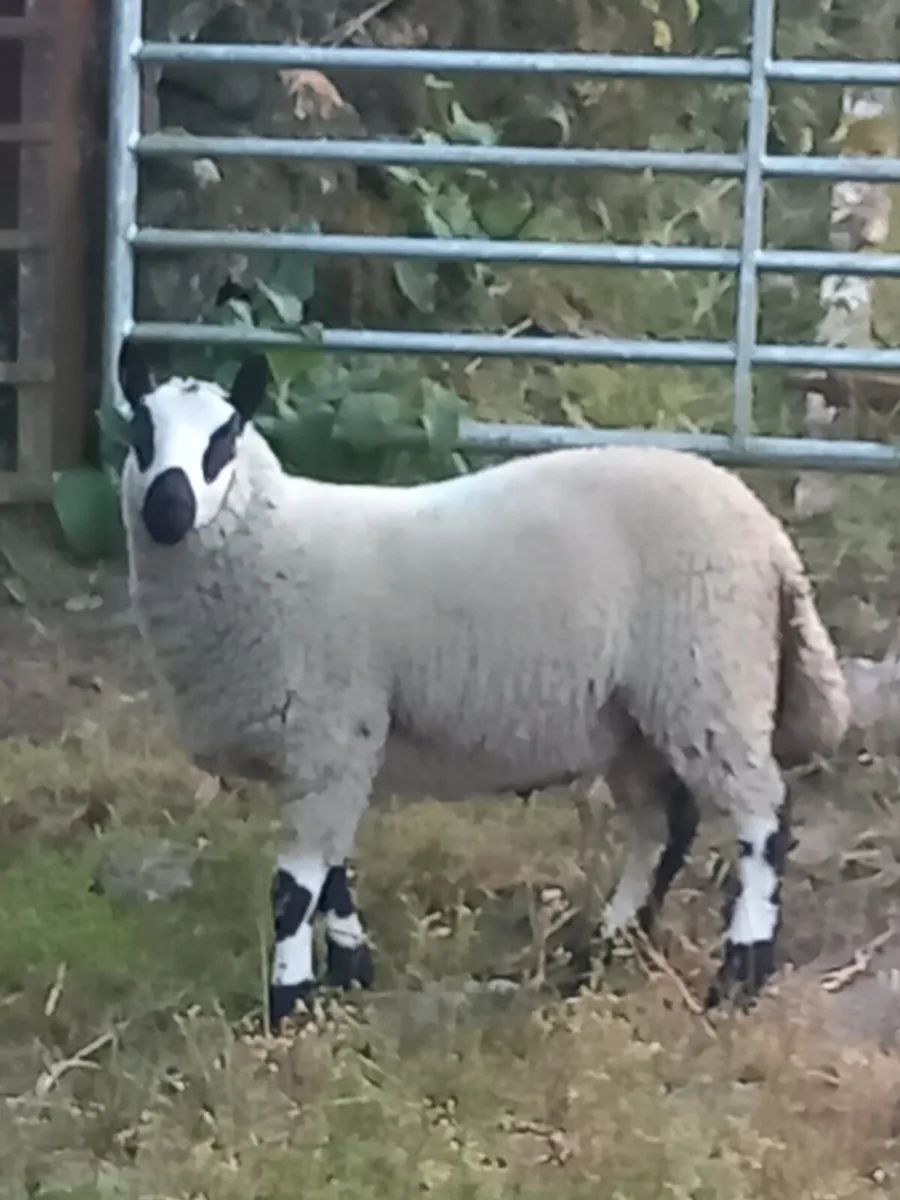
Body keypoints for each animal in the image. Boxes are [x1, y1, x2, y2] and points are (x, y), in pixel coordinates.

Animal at [116, 342, 850, 1025]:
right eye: (140, 431)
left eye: (225, 438)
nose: (167, 509)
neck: (274, 538)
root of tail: (770, 537)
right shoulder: (335, 744)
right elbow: (333, 874)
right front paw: (351, 972)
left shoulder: (329, 728)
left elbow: (295, 889)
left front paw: (289, 1003)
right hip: (633, 713)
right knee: (664, 823)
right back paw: (609, 946)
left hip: (709, 675)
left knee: (762, 816)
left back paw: (739, 974)